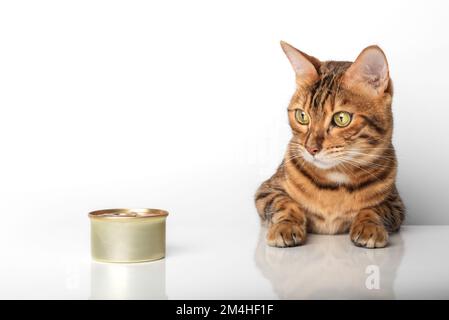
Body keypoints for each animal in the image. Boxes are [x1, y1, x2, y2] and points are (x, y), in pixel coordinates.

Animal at [254, 41, 404, 249]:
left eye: (341, 118)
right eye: (302, 116)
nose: (311, 149)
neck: (335, 180)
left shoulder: (396, 204)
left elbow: (375, 209)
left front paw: (369, 226)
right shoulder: (267, 190)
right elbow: (285, 203)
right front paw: (286, 225)